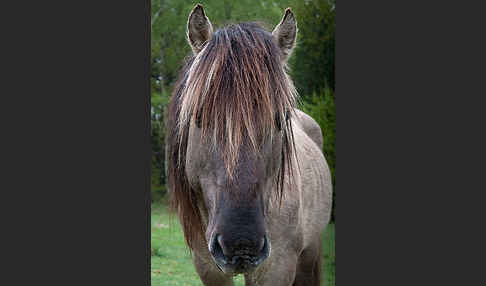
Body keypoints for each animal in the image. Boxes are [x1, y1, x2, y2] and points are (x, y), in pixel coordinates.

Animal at [165, 4, 332, 286]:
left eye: (280, 118)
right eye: (199, 116)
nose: (241, 243)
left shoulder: (277, 268)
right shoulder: (208, 268)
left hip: (310, 254)